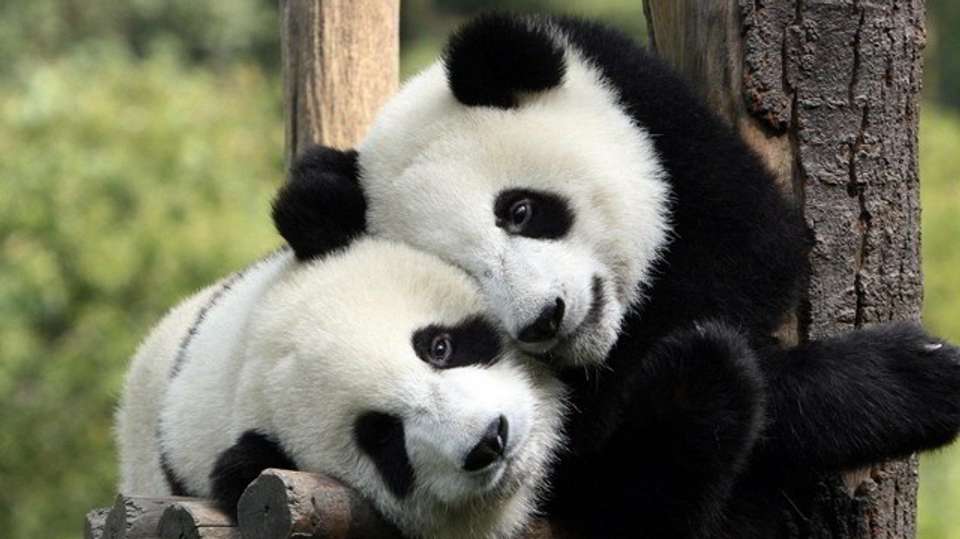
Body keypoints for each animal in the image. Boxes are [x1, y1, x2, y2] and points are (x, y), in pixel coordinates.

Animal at [271, 13, 960, 538]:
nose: (544, 319)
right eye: (466, 275)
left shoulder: (666, 128)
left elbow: (755, 252)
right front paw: (912, 376)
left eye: (520, 211)